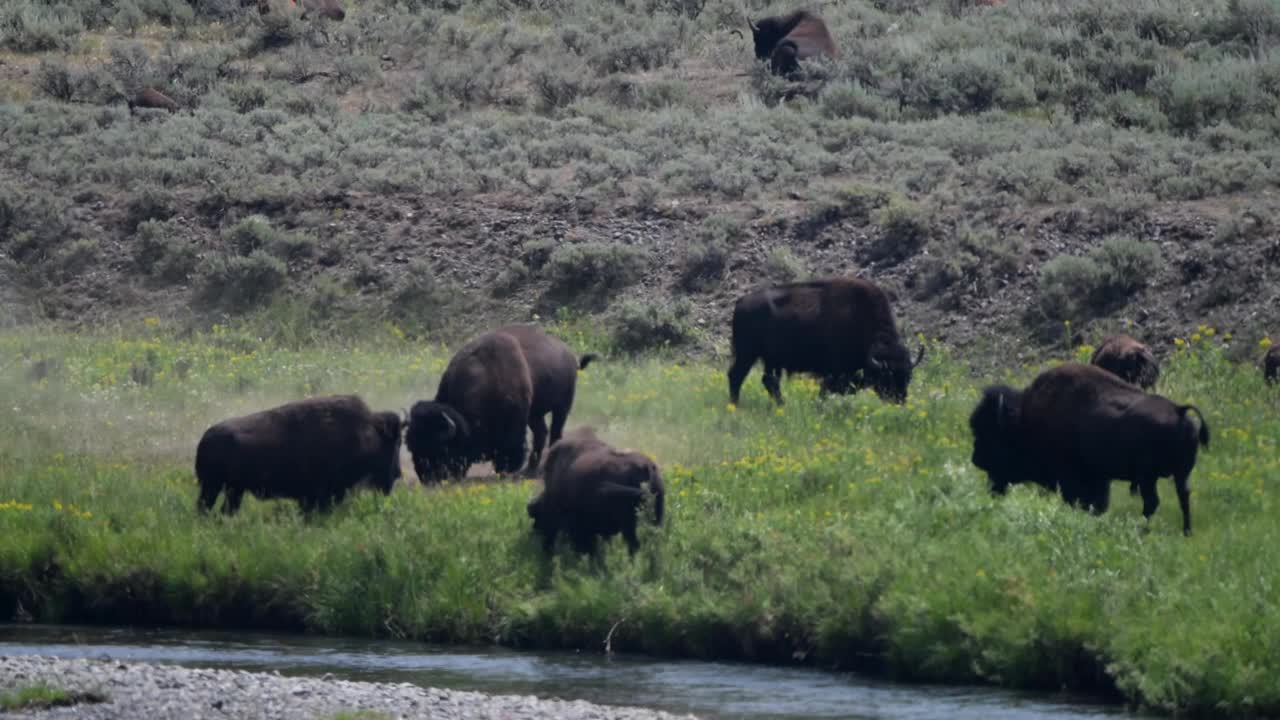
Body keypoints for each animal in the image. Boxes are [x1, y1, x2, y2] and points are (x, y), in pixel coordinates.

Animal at [194, 392, 401, 515]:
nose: (398, 473)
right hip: (214, 486)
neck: (367, 432)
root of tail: (205, 438)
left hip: (231, 489)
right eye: (395, 444)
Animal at [527, 425, 670, 556]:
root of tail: (647, 467)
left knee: (633, 545)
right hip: (654, 518)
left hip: (629, 524)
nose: (535, 533)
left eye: (538, 514)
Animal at [732, 274, 921, 404]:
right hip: (746, 354)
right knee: (736, 375)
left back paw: (781, 405)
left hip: (770, 359)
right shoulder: (834, 372)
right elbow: (826, 390)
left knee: (769, 381)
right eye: (888, 376)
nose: (900, 400)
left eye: (908, 375)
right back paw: (736, 406)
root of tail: (740, 302)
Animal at [967, 363, 1208, 532]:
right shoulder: (1098, 478)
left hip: (1148, 476)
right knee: (1183, 496)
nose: (976, 459)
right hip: (1179, 474)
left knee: (1152, 502)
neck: (1025, 419)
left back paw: (1143, 530)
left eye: (992, 433)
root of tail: (1179, 410)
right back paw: (1186, 532)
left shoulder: (1074, 478)